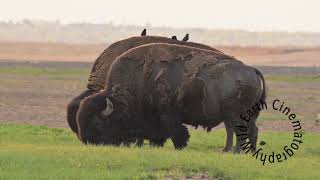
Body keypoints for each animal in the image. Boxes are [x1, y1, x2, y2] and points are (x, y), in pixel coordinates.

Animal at [75, 43, 264, 152]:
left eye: (98, 123)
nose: (87, 141)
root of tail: (251, 70)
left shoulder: (168, 116)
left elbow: (176, 132)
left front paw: (179, 147)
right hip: (240, 116)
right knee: (248, 131)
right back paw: (240, 151)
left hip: (236, 116)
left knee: (241, 132)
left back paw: (237, 151)